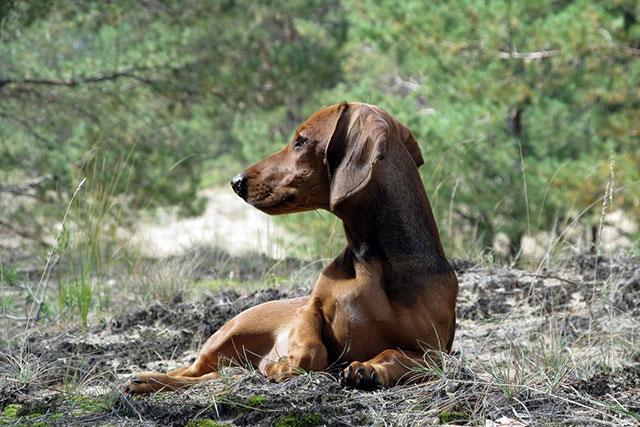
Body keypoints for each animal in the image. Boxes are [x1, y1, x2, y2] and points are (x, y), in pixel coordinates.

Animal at [125, 101, 458, 394]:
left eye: (300, 142)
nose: (235, 181)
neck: (371, 261)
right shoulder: (309, 309)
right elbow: (311, 351)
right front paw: (283, 364)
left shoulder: (435, 353)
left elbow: (396, 354)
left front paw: (369, 369)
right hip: (226, 335)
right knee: (190, 370)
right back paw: (146, 380)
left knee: (211, 376)